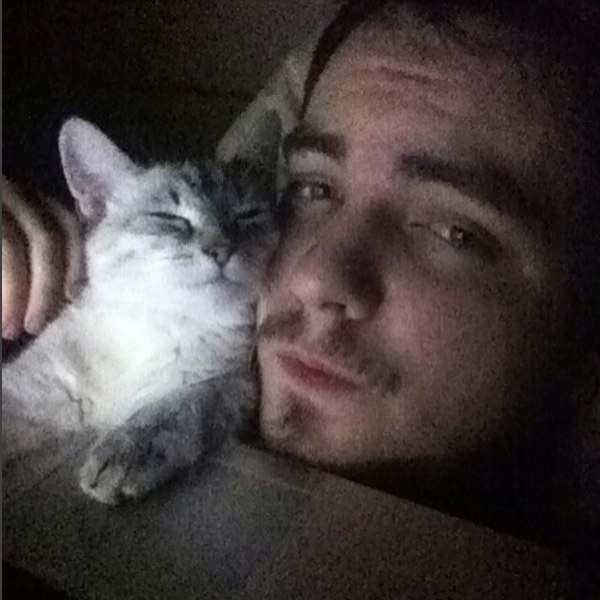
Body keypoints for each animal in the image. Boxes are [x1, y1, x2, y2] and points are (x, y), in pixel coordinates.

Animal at [2, 114, 281, 504]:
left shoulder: (237, 384)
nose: (222, 249)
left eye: (246, 216)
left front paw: (127, 449)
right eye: (169, 218)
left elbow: (180, 405)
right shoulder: (27, 389)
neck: (156, 330)